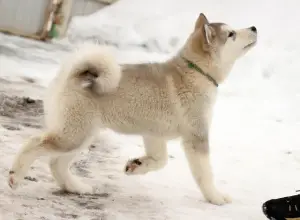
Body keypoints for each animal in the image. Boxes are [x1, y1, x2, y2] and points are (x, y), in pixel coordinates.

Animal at [8, 12, 258, 205]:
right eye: (231, 34)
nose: (254, 27)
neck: (196, 72)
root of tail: (72, 75)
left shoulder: (154, 135)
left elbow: (160, 161)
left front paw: (137, 166)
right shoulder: (196, 137)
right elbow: (205, 174)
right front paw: (216, 197)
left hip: (82, 135)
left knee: (56, 163)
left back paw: (76, 187)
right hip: (73, 135)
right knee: (34, 144)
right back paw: (15, 176)